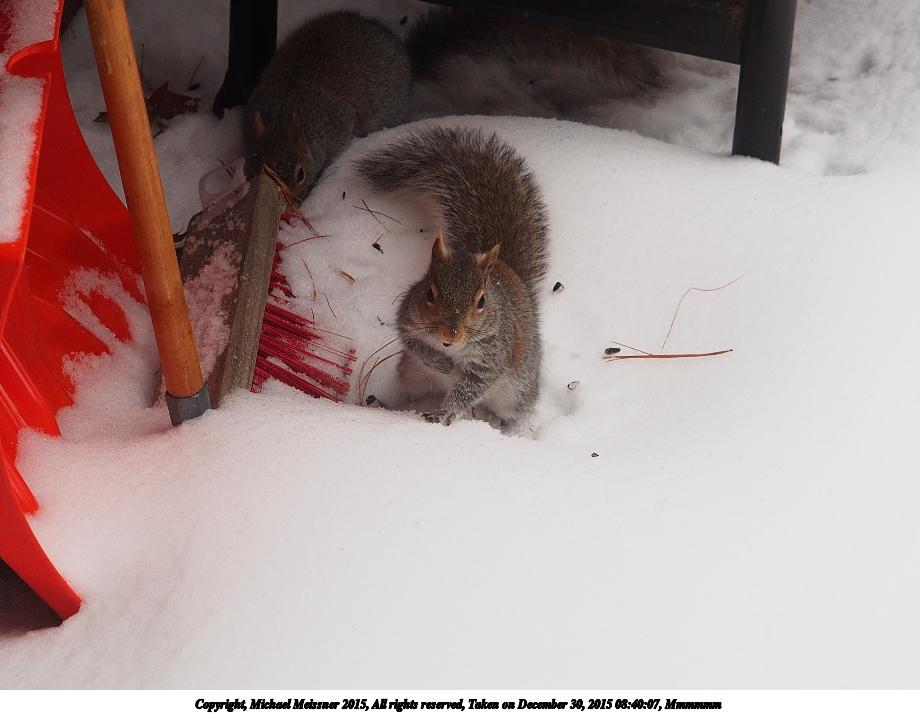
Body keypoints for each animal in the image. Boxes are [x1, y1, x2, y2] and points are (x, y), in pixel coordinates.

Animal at [356, 127, 549, 433]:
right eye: (429, 293)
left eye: (482, 301)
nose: (450, 334)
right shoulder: (408, 317)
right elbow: (414, 343)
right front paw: (440, 362)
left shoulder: (491, 355)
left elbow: (471, 387)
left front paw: (444, 412)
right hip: (412, 373)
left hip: (516, 392)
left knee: (511, 411)